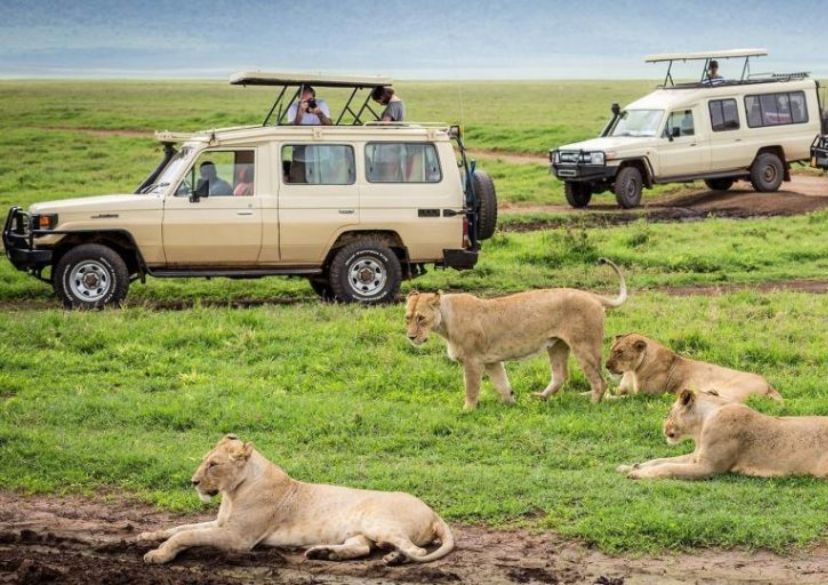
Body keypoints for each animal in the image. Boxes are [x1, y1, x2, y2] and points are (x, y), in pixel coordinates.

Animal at [140, 435, 454, 565]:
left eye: (213, 465)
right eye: (205, 460)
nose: (193, 482)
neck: (232, 493)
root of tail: (433, 512)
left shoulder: (238, 538)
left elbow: (186, 535)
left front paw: (158, 554)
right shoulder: (221, 524)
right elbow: (178, 528)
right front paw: (146, 536)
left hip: (377, 522)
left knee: (417, 550)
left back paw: (394, 558)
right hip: (361, 532)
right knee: (361, 548)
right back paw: (324, 553)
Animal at [405, 259, 626, 410]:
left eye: (421, 318)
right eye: (407, 318)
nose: (411, 337)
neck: (445, 321)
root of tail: (592, 295)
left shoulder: (472, 360)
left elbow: (471, 387)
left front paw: (467, 410)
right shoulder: (491, 361)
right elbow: (502, 384)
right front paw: (511, 403)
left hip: (584, 345)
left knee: (600, 381)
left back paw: (593, 403)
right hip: (557, 345)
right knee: (560, 375)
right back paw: (540, 398)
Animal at [605, 333, 782, 403]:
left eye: (620, 352)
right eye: (611, 349)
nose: (606, 366)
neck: (631, 371)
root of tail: (768, 384)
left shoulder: (645, 395)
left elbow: (621, 398)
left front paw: (608, 398)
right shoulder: (624, 388)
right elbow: (608, 391)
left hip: (736, 389)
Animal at [617, 389, 828, 480]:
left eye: (669, 412)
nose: (663, 427)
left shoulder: (709, 467)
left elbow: (670, 467)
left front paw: (637, 473)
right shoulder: (696, 456)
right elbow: (661, 460)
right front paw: (629, 466)